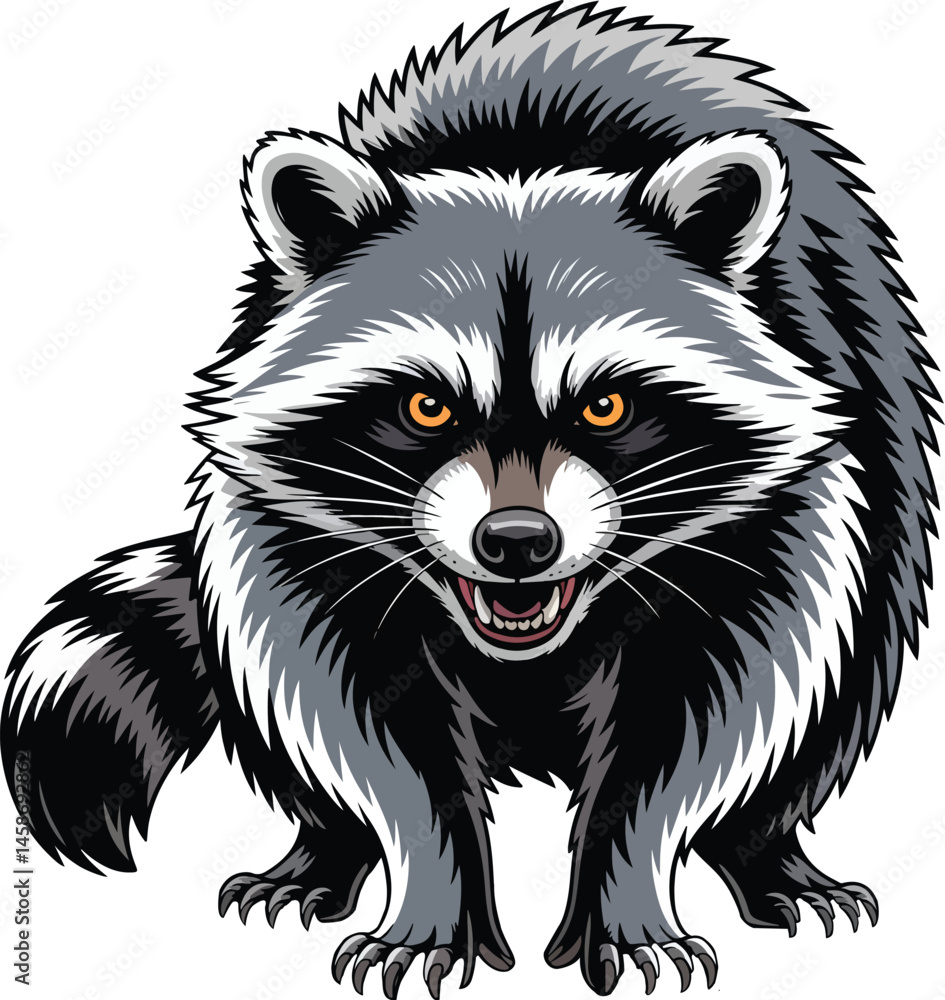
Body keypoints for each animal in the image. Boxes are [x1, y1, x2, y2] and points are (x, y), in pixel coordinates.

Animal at [2, 4, 939, 997]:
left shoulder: (777, 511)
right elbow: (364, 718)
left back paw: (766, 856)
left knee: (840, 677)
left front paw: (627, 887)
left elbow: (699, 715)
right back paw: (322, 850)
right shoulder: (297, 533)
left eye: (604, 407)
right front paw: (427, 892)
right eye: (427, 406)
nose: (517, 540)